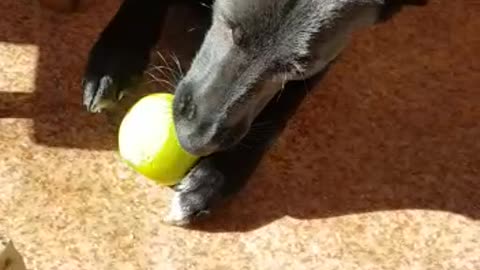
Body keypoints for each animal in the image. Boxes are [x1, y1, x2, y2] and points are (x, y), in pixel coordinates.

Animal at [81, 0, 428, 226]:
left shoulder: (325, 59)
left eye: (297, 67)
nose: (194, 141)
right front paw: (117, 56)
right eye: (232, 28)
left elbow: (277, 113)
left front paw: (214, 179)